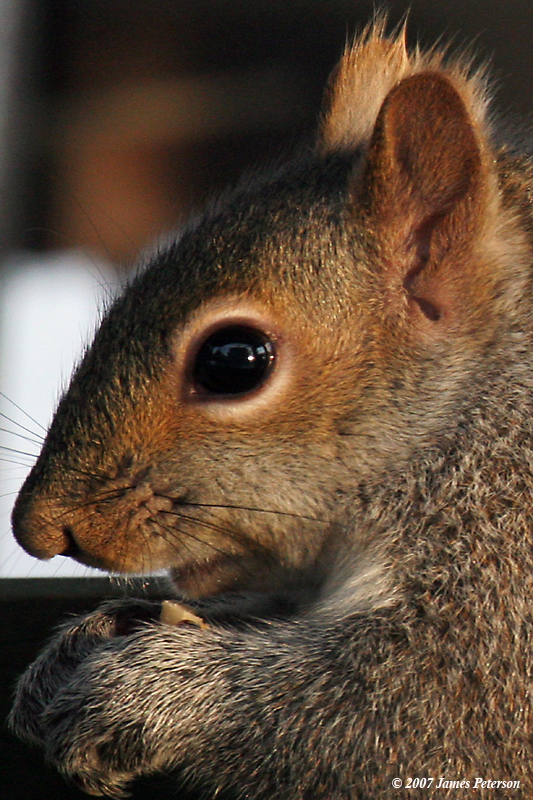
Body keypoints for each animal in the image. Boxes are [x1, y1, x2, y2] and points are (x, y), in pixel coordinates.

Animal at [6, 18, 532, 800]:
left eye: (233, 361)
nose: (37, 529)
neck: (469, 421)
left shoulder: (502, 590)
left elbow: (418, 707)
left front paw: (148, 692)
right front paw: (90, 640)